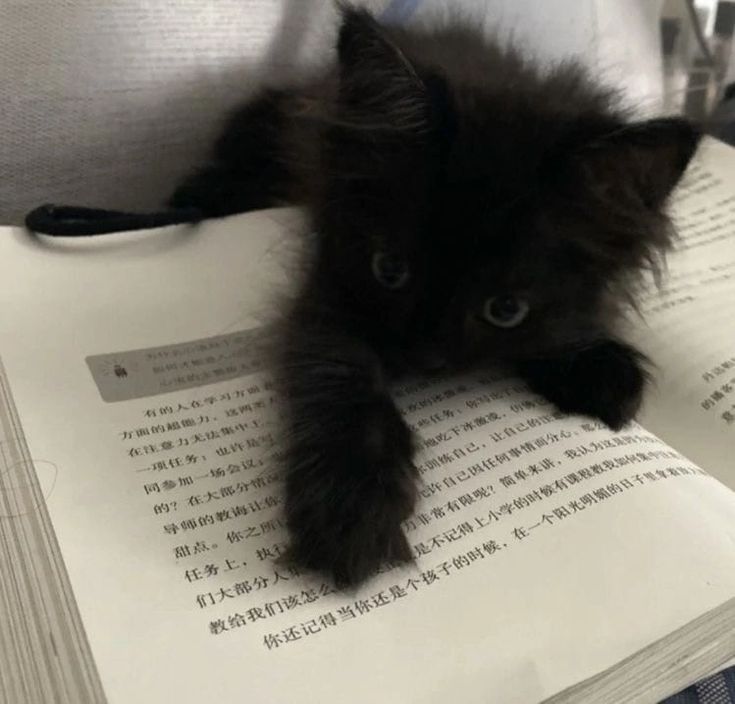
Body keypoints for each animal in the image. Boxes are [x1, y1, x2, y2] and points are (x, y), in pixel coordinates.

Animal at [172, 6, 700, 588]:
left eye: (505, 310)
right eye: (390, 270)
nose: (424, 357)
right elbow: (337, 367)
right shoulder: (333, 283)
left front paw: (599, 365)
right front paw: (350, 501)